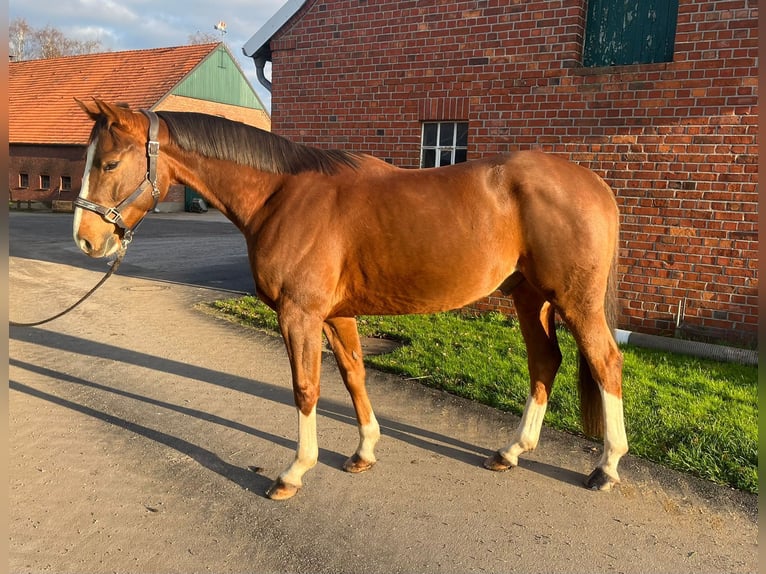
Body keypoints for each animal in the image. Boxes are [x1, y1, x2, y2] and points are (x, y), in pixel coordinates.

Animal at [72, 101, 628, 502]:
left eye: (111, 162)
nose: (86, 240)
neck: (281, 196)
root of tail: (596, 184)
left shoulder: (299, 315)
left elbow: (306, 389)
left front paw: (295, 471)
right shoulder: (337, 315)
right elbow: (354, 375)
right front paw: (364, 451)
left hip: (574, 302)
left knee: (606, 363)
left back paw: (606, 466)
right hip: (530, 297)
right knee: (545, 361)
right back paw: (512, 451)